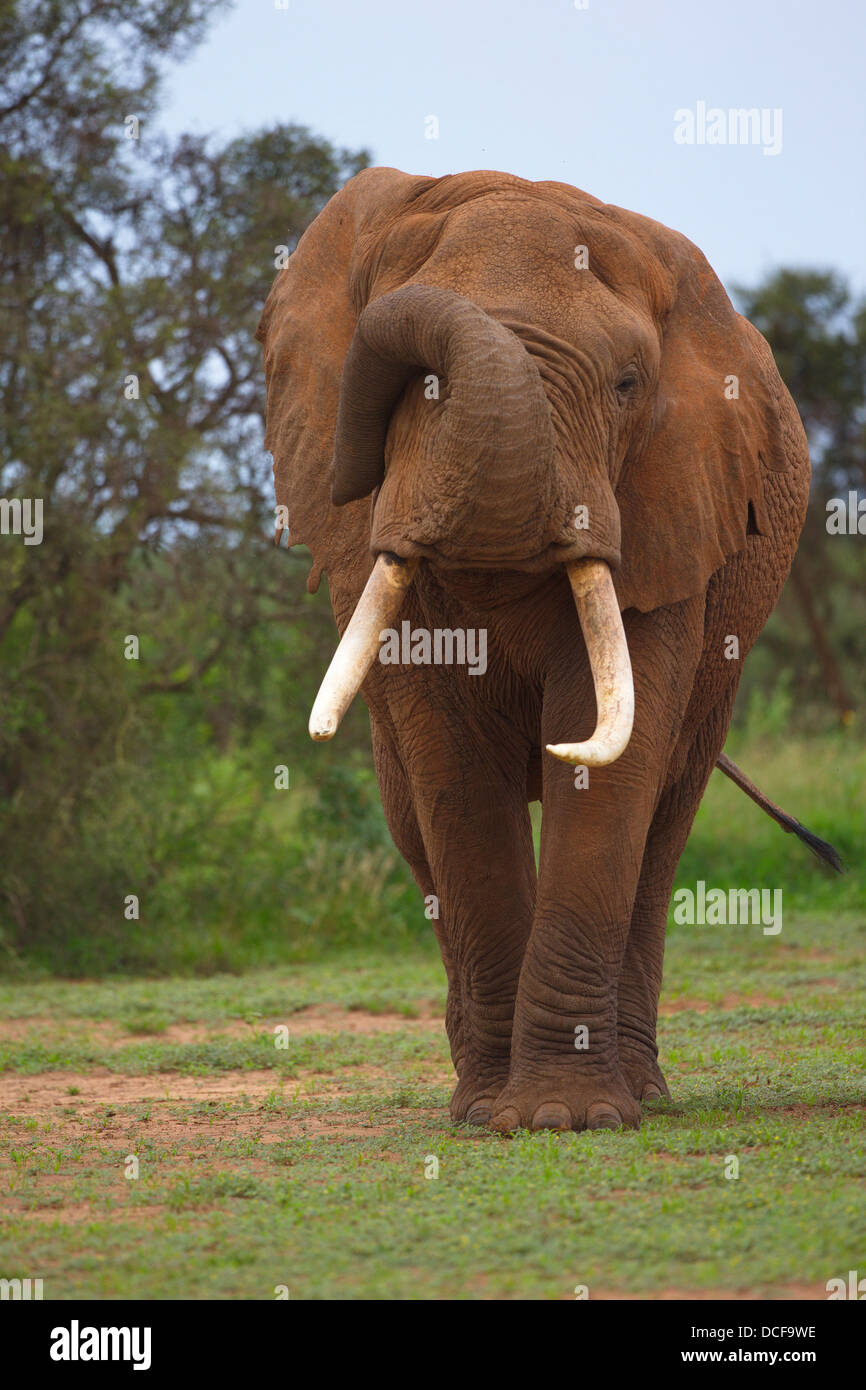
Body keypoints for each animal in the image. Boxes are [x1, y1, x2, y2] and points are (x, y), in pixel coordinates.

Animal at [256, 167, 838, 1133]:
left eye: (628, 384)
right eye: (410, 388)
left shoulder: (669, 512)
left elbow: (613, 771)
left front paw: (567, 1118)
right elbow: (452, 772)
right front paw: (509, 1115)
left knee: (664, 825)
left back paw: (643, 1095)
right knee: (413, 823)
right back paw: (470, 1102)